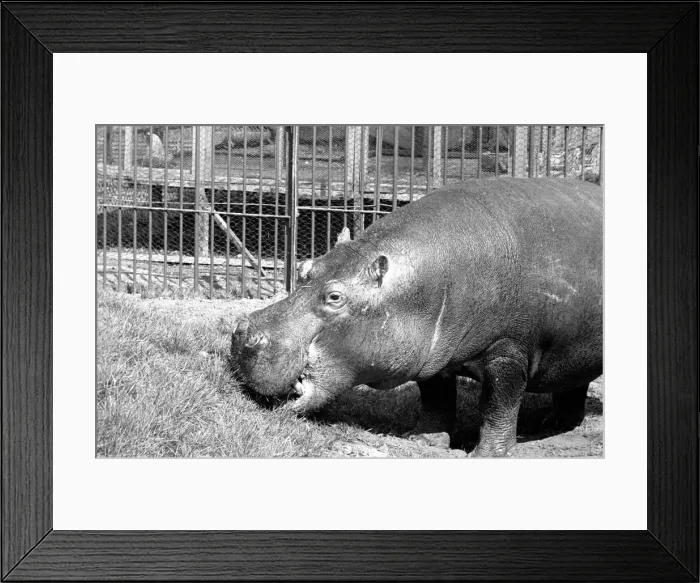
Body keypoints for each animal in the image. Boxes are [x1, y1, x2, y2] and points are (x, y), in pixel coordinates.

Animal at [231, 178, 602, 457]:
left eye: (335, 297)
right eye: (306, 267)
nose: (243, 331)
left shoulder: (509, 352)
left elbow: (498, 405)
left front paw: (487, 454)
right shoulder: (434, 354)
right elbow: (436, 399)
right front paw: (424, 441)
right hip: (577, 347)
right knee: (572, 386)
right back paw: (553, 427)